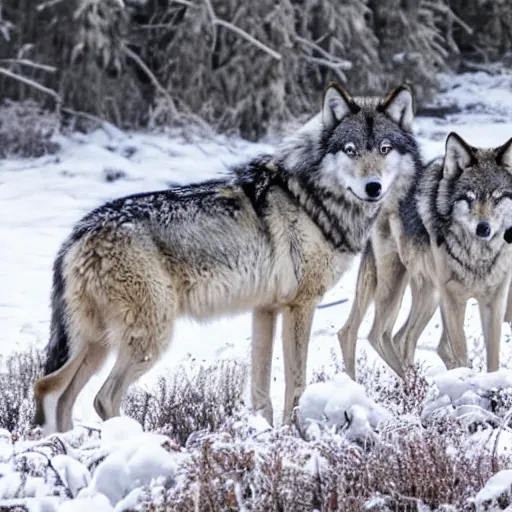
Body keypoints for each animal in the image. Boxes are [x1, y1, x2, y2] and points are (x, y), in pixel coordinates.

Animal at [32, 83, 418, 432]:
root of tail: (79, 234)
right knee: (101, 398)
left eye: (384, 148)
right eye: (350, 150)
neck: (310, 198)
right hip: (147, 337)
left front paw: (265, 434)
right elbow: (296, 382)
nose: (373, 187)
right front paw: (299, 431)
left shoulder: (265, 309)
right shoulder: (301, 305)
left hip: (94, 344)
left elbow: (260, 388)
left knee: (51, 390)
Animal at [338, 132, 512, 380]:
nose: (483, 228)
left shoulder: (494, 301)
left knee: (398, 337)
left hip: (428, 293)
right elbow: (461, 352)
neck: (478, 256)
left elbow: (493, 361)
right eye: (468, 197)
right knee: (374, 334)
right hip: (397, 285)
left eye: (497, 197)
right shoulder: (454, 299)